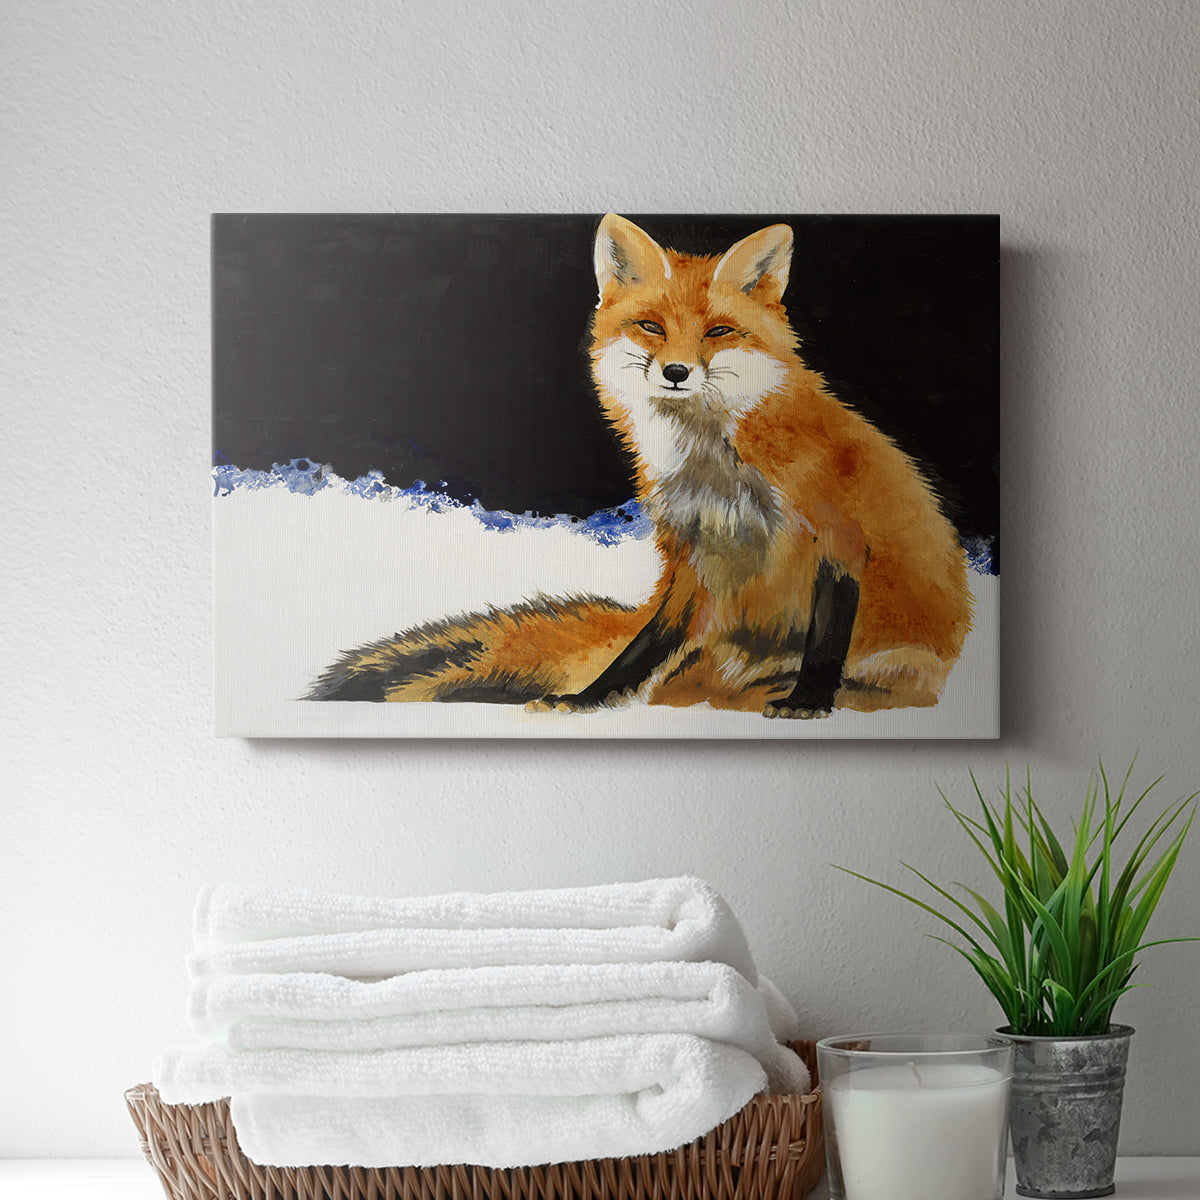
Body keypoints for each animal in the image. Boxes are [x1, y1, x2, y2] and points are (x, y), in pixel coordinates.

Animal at [307, 214, 973, 718]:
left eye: (719, 332)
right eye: (651, 326)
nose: (676, 372)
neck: (717, 465)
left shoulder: (837, 534)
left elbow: (827, 635)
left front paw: (808, 701)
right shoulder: (691, 553)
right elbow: (642, 647)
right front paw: (589, 699)